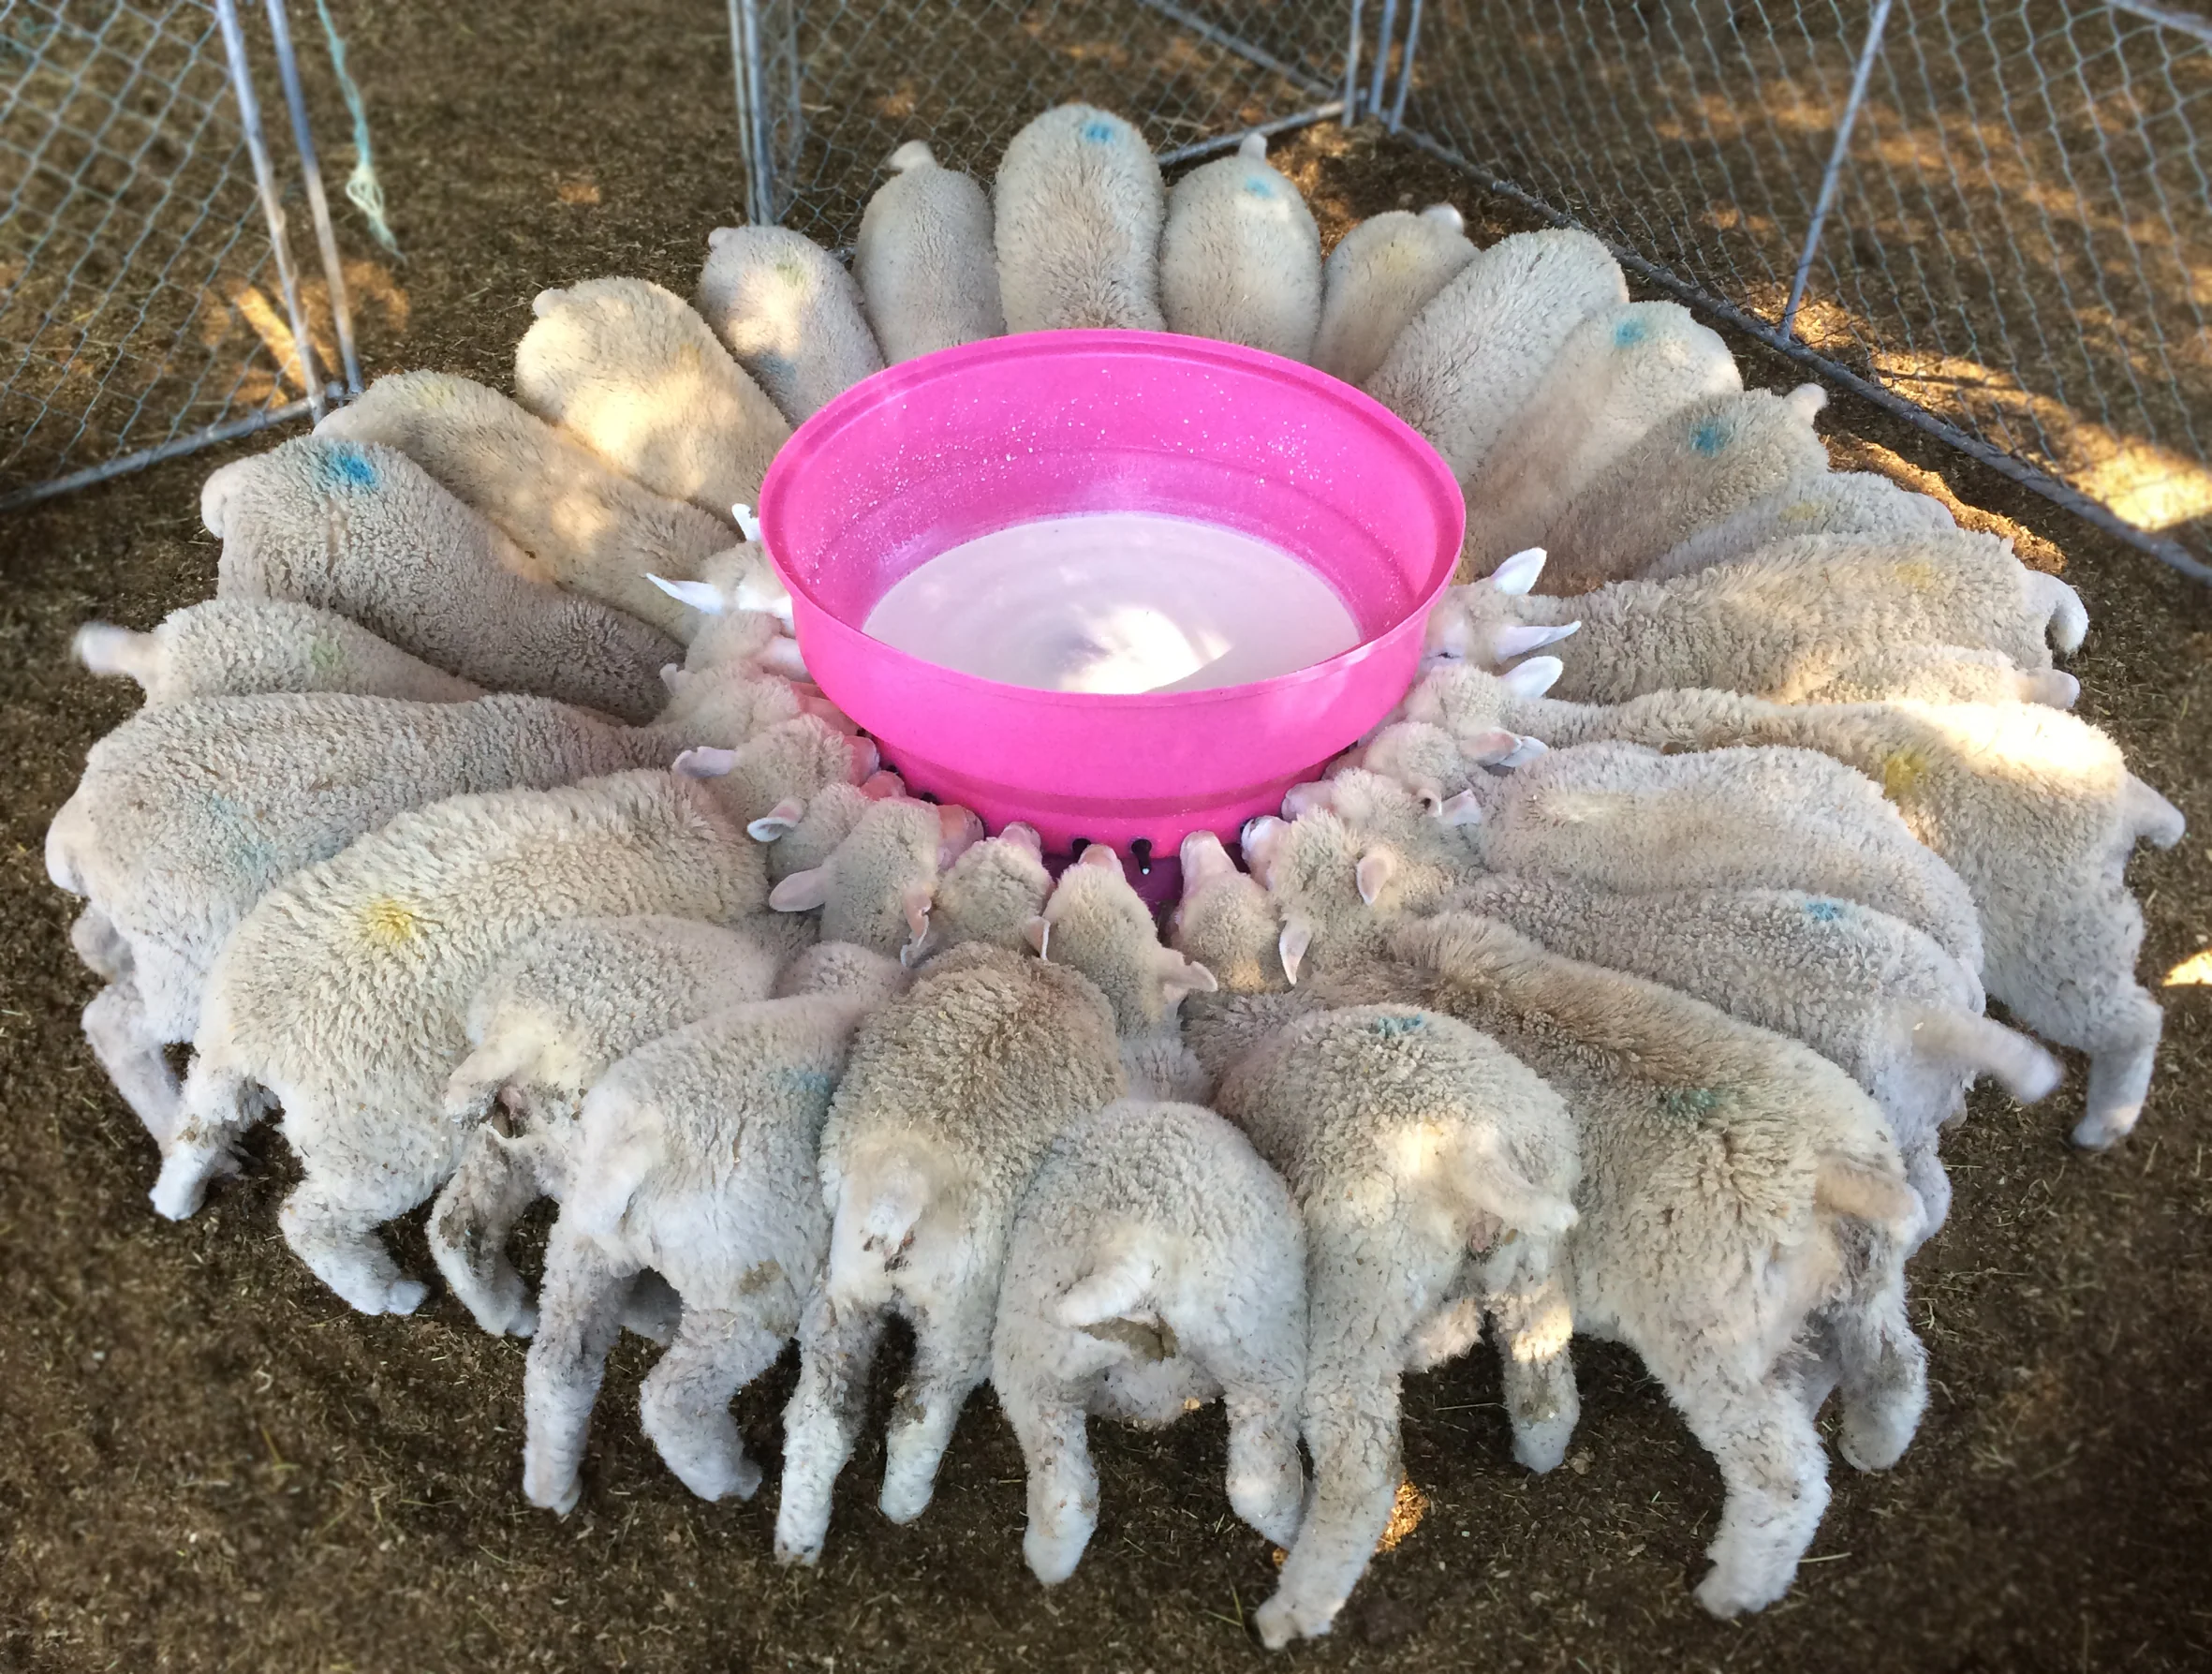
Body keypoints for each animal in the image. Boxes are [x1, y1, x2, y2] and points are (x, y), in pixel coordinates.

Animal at [519, 942, 911, 1512]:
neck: (842, 1001)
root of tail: (639, 1151)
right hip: (742, 1293)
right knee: (673, 1401)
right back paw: (731, 1479)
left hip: (583, 1244)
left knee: (558, 1366)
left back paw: (554, 1487)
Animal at [773, 944, 1127, 1563]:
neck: (1034, 977)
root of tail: (905, 1180)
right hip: (960, 1315)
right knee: (921, 1414)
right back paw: (903, 1504)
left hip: (843, 1287)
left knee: (821, 1417)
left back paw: (799, 1537)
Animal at [991, 1098, 1307, 1585]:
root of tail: (1132, 1251)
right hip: (1264, 1341)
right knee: (1263, 1472)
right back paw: (1300, 1533)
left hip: (1033, 1351)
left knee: (1063, 1483)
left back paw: (1049, 1560)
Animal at [1212, 1001, 1581, 1647]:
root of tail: (1473, 1140)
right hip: (1527, 1259)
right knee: (1543, 1375)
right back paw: (1539, 1450)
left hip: (1360, 1269)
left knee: (1358, 1447)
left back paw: (1297, 1606)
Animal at [1388, 661, 2184, 1143]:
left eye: (1425, 700)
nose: (1414, 673)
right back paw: (2170, 820)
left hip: (2058, 930)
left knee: (2131, 1016)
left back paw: (2108, 1119)